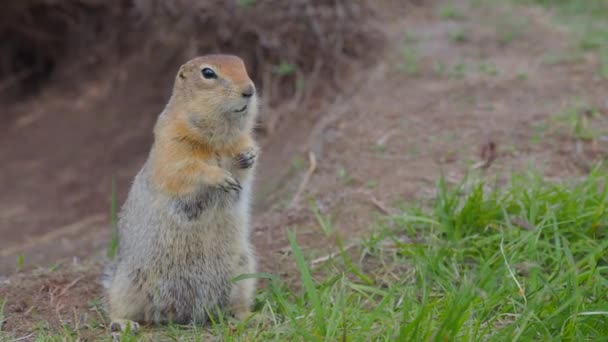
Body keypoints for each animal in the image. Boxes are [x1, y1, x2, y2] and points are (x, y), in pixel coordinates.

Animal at [102, 54, 258, 332]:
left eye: (242, 65)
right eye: (208, 73)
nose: (249, 90)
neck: (218, 138)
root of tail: (180, 315)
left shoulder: (238, 140)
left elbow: (245, 157)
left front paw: (248, 155)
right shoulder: (173, 143)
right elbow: (185, 169)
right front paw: (219, 177)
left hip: (243, 271)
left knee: (236, 306)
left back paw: (251, 316)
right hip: (127, 283)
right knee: (116, 308)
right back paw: (125, 324)